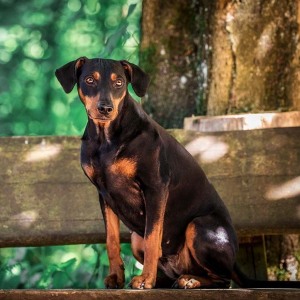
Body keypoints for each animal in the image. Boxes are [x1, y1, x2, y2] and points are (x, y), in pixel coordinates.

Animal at [55, 57, 298, 290]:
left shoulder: (155, 188)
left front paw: (145, 280)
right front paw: (116, 277)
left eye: (119, 83)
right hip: (136, 238)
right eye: (89, 80)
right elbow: (111, 240)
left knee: (223, 279)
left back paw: (189, 281)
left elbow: (153, 238)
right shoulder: (104, 194)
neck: (106, 138)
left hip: (199, 227)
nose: (105, 109)